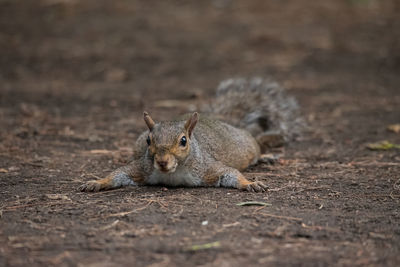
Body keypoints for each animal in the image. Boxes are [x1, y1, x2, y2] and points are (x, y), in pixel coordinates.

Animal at [78, 77, 304, 193]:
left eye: (183, 141)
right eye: (149, 140)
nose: (161, 162)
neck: (173, 173)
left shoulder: (207, 169)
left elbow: (231, 174)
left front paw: (251, 184)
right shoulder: (142, 168)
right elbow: (119, 174)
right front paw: (97, 182)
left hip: (246, 146)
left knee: (257, 148)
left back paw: (266, 156)